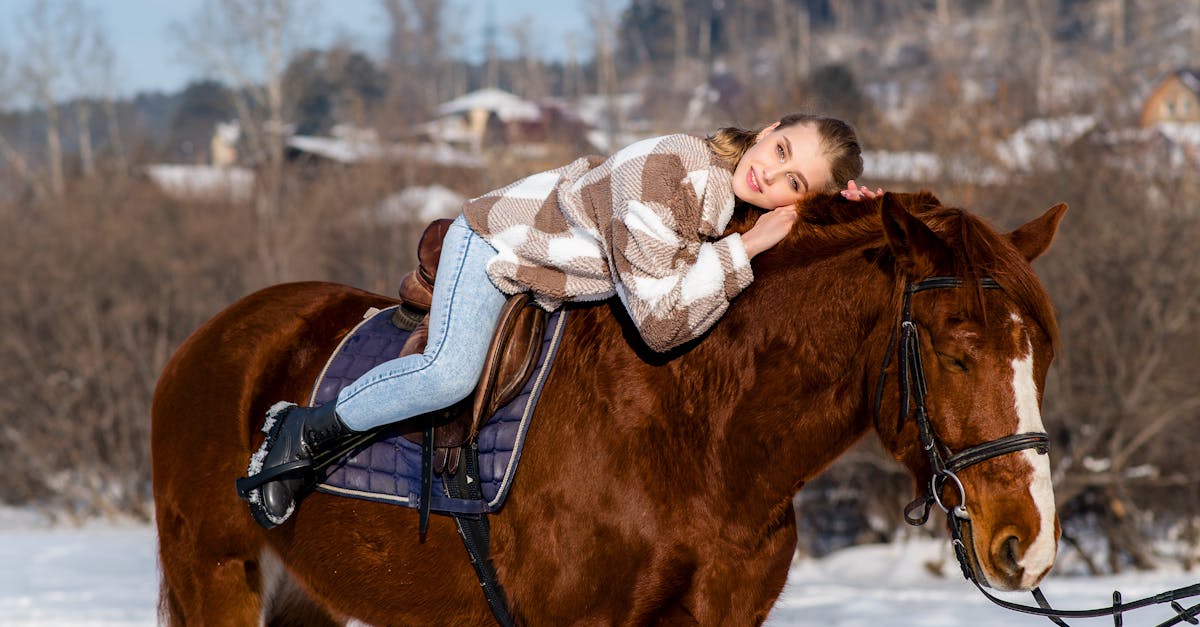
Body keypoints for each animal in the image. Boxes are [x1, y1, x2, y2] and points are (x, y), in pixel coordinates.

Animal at [152, 192, 1070, 619]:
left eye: (1043, 355)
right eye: (956, 348)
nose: (1026, 542)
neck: (694, 433)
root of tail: (208, 344)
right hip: (215, 580)